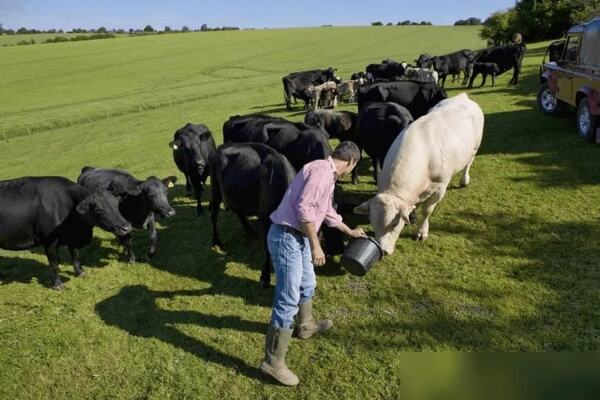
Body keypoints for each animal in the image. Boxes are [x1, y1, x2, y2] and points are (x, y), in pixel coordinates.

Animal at [0, 177, 132, 290]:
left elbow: (76, 256)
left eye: (117, 205)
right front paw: (57, 285)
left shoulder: (73, 239)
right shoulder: (49, 241)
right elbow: (54, 263)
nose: (127, 227)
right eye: (99, 210)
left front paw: (80, 273)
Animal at [354, 94, 486, 253]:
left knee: (468, 163)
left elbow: (427, 211)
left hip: (475, 148)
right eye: (372, 223)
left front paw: (421, 232)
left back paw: (464, 180)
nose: (383, 250)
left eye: (394, 224)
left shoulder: (440, 188)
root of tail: (463, 96)